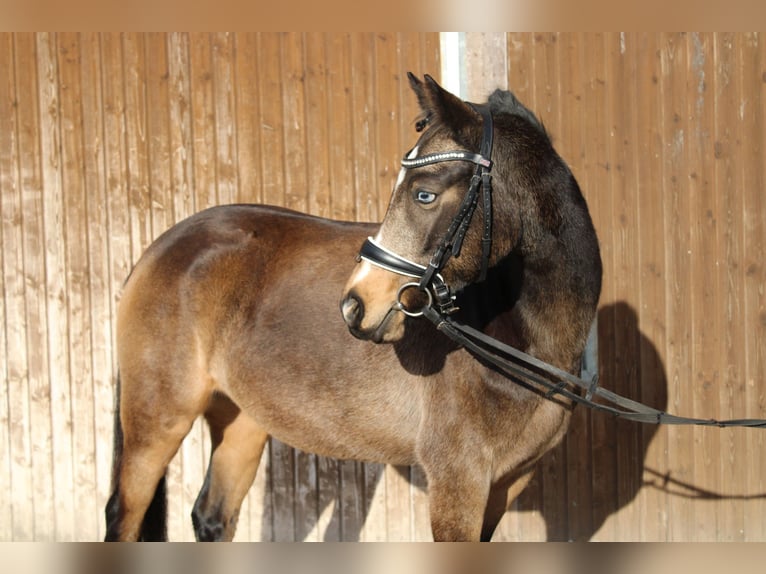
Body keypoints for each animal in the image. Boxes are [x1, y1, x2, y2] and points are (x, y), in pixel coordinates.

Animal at [103, 73, 608, 544]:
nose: (355, 305)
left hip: (241, 420)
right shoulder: (458, 482)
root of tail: (161, 248)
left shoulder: (504, 484)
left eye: (424, 193)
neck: (519, 341)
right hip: (157, 421)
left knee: (212, 518)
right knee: (123, 513)